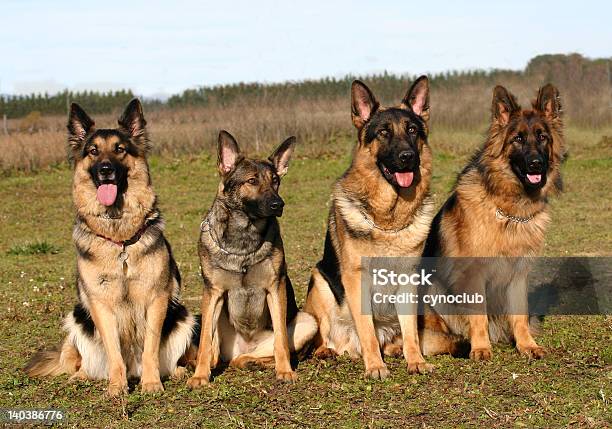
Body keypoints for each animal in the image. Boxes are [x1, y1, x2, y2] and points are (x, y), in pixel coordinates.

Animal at [24, 99, 194, 394]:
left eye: (119, 149)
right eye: (93, 151)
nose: (105, 170)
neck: (120, 241)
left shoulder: (156, 298)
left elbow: (150, 347)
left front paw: (151, 383)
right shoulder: (100, 304)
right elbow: (114, 352)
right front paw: (117, 387)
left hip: (183, 317)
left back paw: (174, 373)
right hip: (78, 319)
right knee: (85, 362)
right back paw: (82, 376)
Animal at [188, 129, 318, 386]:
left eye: (275, 181)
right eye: (252, 181)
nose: (279, 204)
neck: (243, 241)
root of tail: (241, 348)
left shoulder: (275, 288)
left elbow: (281, 340)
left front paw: (285, 371)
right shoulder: (213, 293)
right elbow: (206, 343)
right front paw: (199, 376)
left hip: (308, 322)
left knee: (266, 351)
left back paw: (252, 362)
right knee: (215, 352)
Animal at [302, 77, 436, 378]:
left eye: (412, 130)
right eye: (383, 133)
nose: (408, 157)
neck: (388, 218)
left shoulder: (409, 279)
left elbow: (411, 329)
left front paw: (416, 360)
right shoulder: (355, 279)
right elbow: (367, 330)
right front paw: (375, 365)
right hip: (320, 282)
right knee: (327, 335)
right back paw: (328, 350)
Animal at [420, 84, 564, 362]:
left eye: (542, 137)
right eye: (517, 139)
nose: (536, 164)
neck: (509, 209)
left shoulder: (518, 272)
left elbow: (520, 315)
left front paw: (526, 345)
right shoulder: (473, 273)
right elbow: (479, 316)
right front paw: (481, 348)